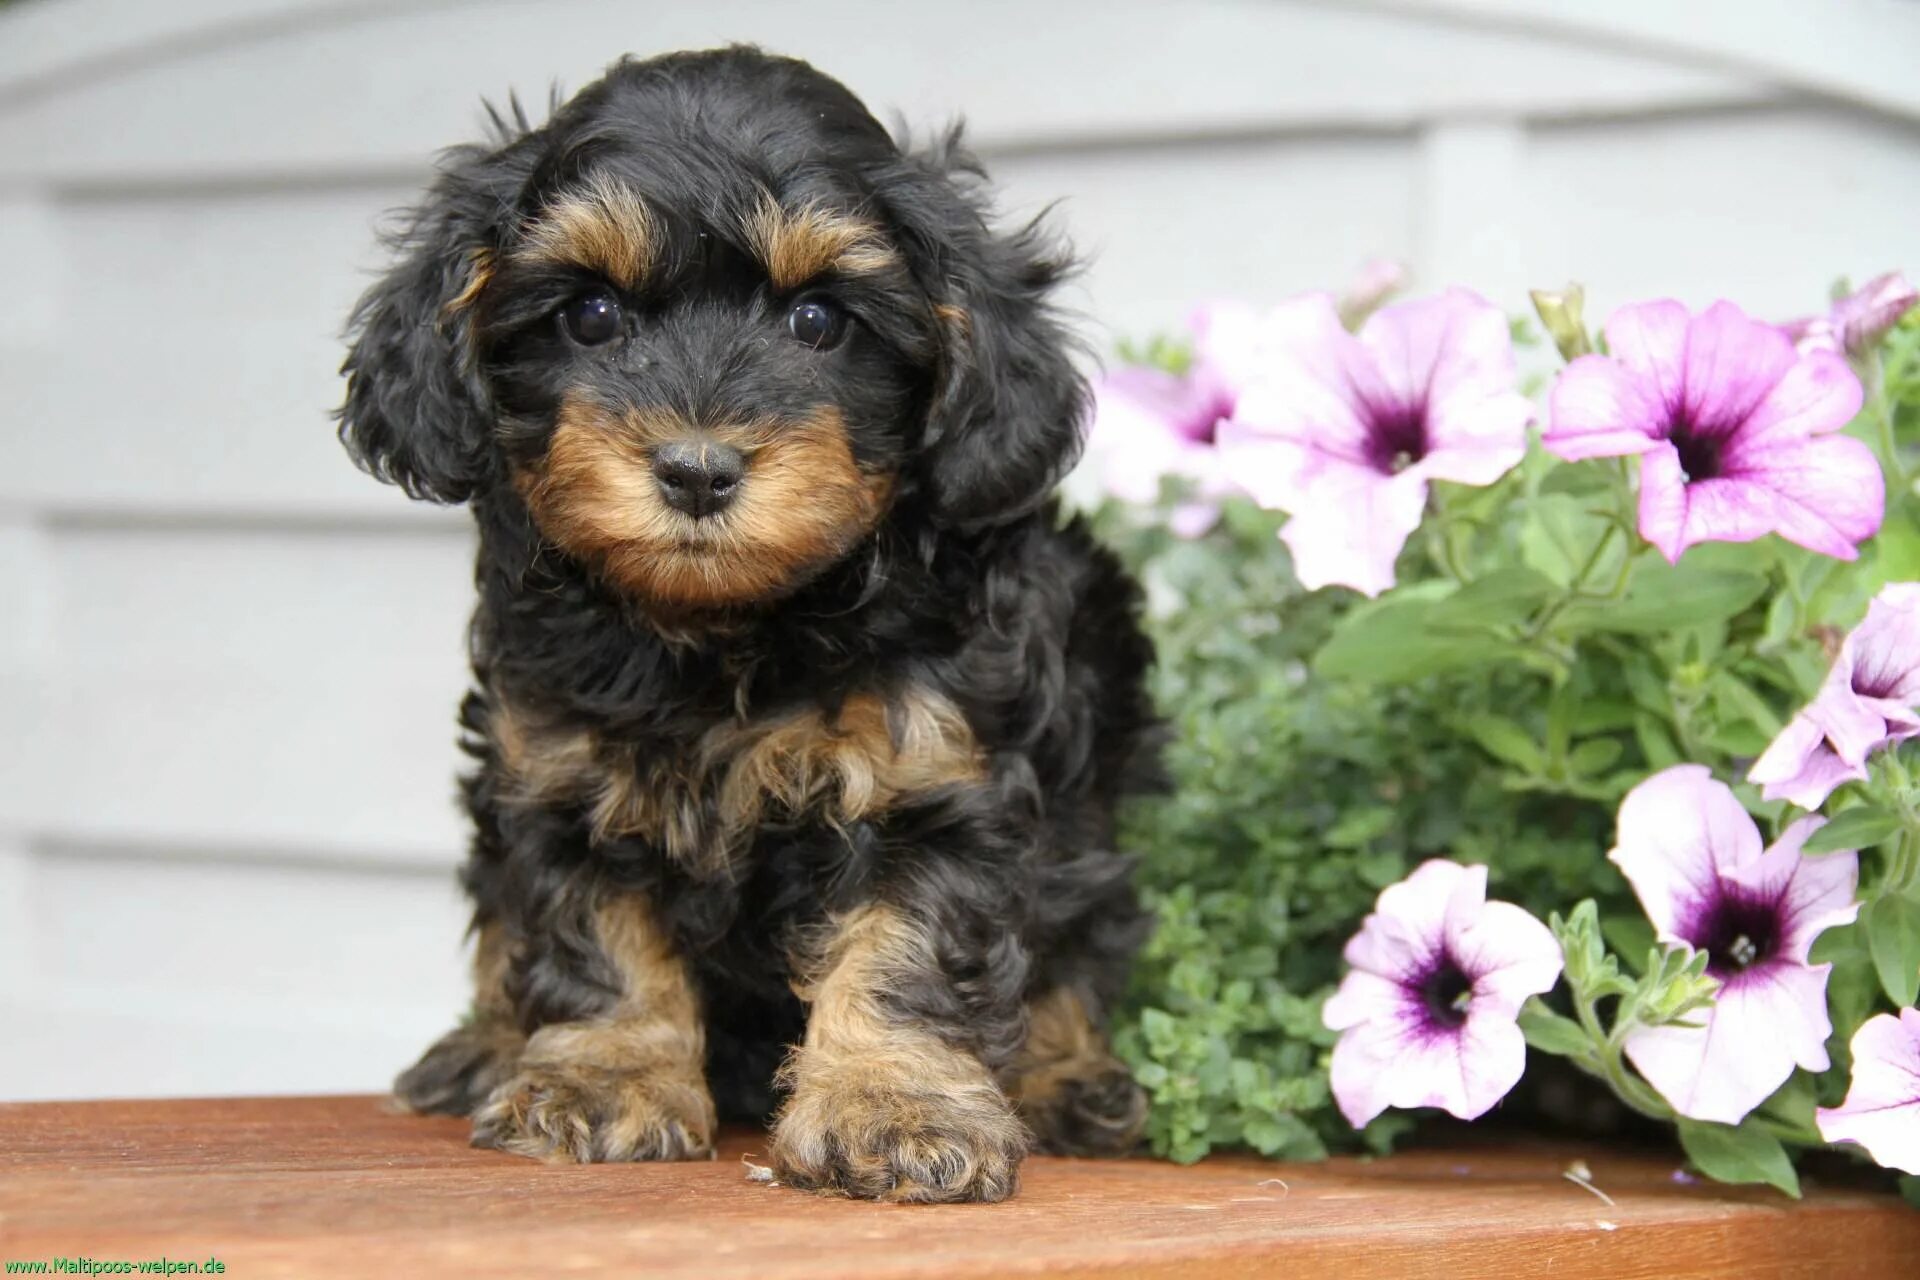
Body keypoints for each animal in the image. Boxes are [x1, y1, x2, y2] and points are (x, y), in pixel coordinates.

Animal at [334, 42, 1152, 1205]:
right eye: (590, 316)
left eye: (819, 322)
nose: (697, 469)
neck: (729, 630)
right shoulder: (558, 771)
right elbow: (595, 935)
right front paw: (607, 1079)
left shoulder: (935, 772)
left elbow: (907, 948)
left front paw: (894, 1105)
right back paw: (485, 1044)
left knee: (1082, 936)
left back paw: (1068, 1075)